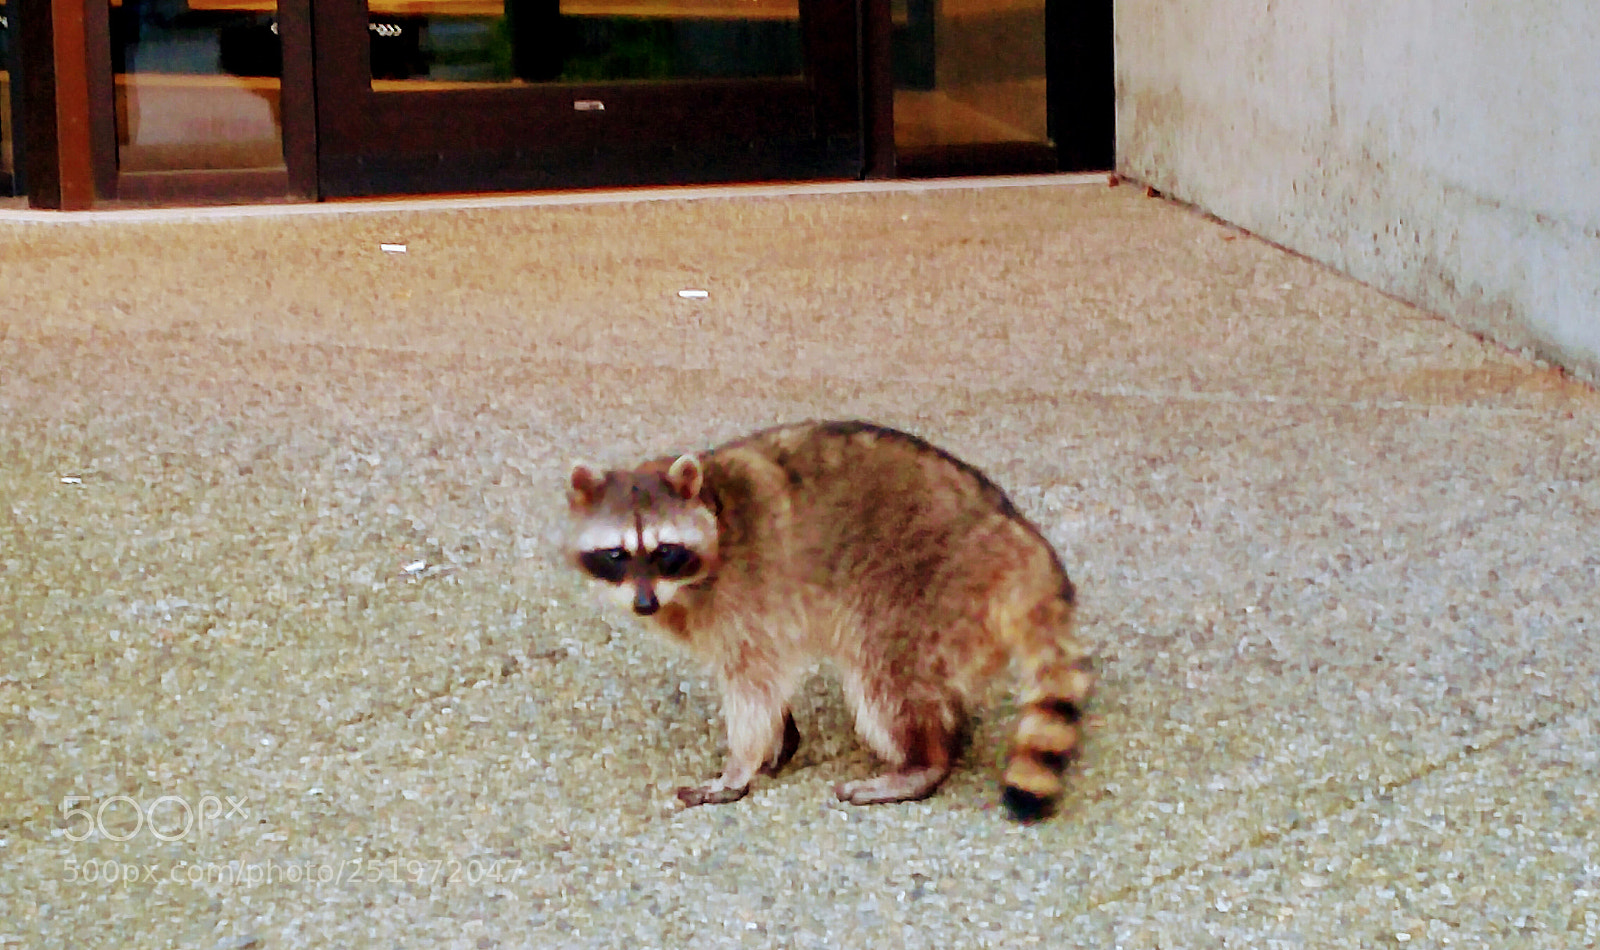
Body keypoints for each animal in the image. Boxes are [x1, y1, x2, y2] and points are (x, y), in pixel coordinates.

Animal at [564, 420, 1092, 822]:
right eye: (617, 554)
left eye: (664, 552)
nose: (644, 605)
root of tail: (1020, 540)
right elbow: (766, 681)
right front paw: (781, 738)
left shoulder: (746, 593)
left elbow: (752, 684)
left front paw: (739, 765)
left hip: (925, 589)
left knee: (885, 678)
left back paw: (925, 760)